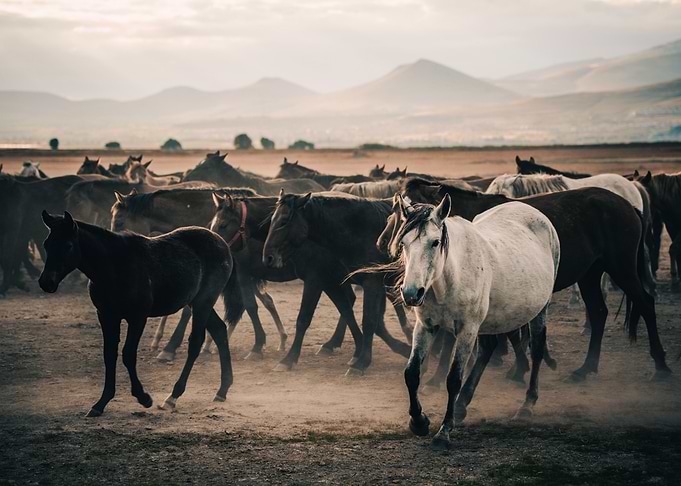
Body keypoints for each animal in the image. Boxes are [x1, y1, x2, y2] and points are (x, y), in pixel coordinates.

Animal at [39, 211, 244, 416]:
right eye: (46, 244)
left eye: (68, 245)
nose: (46, 282)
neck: (115, 267)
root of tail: (222, 243)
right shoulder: (106, 316)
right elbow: (109, 354)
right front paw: (101, 403)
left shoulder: (137, 317)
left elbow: (128, 354)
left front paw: (143, 397)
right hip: (197, 302)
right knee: (219, 330)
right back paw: (222, 390)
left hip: (204, 301)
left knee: (196, 342)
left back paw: (172, 397)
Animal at [211, 193, 412, 370]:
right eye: (270, 222)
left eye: (223, 225)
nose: (212, 246)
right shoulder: (331, 280)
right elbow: (349, 311)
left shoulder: (316, 279)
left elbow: (303, 318)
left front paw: (285, 357)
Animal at [392, 178, 671, 382]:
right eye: (400, 212)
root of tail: (628, 205)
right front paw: (524, 365)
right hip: (590, 275)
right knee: (599, 312)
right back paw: (586, 368)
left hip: (621, 268)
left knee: (645, 303)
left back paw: (661, 366)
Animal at [392, 197, 560, 450]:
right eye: (403, 243)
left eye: (435, 242)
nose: (411, 293)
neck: (450, 278)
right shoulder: (426, 326)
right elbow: (411, 373)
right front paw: (419, 422)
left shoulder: (467, 330)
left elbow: (453, 379)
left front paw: (443, 432)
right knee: (487, 351)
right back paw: (462, 406)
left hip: (541, 308)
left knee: (537, 349)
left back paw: (527, 406)